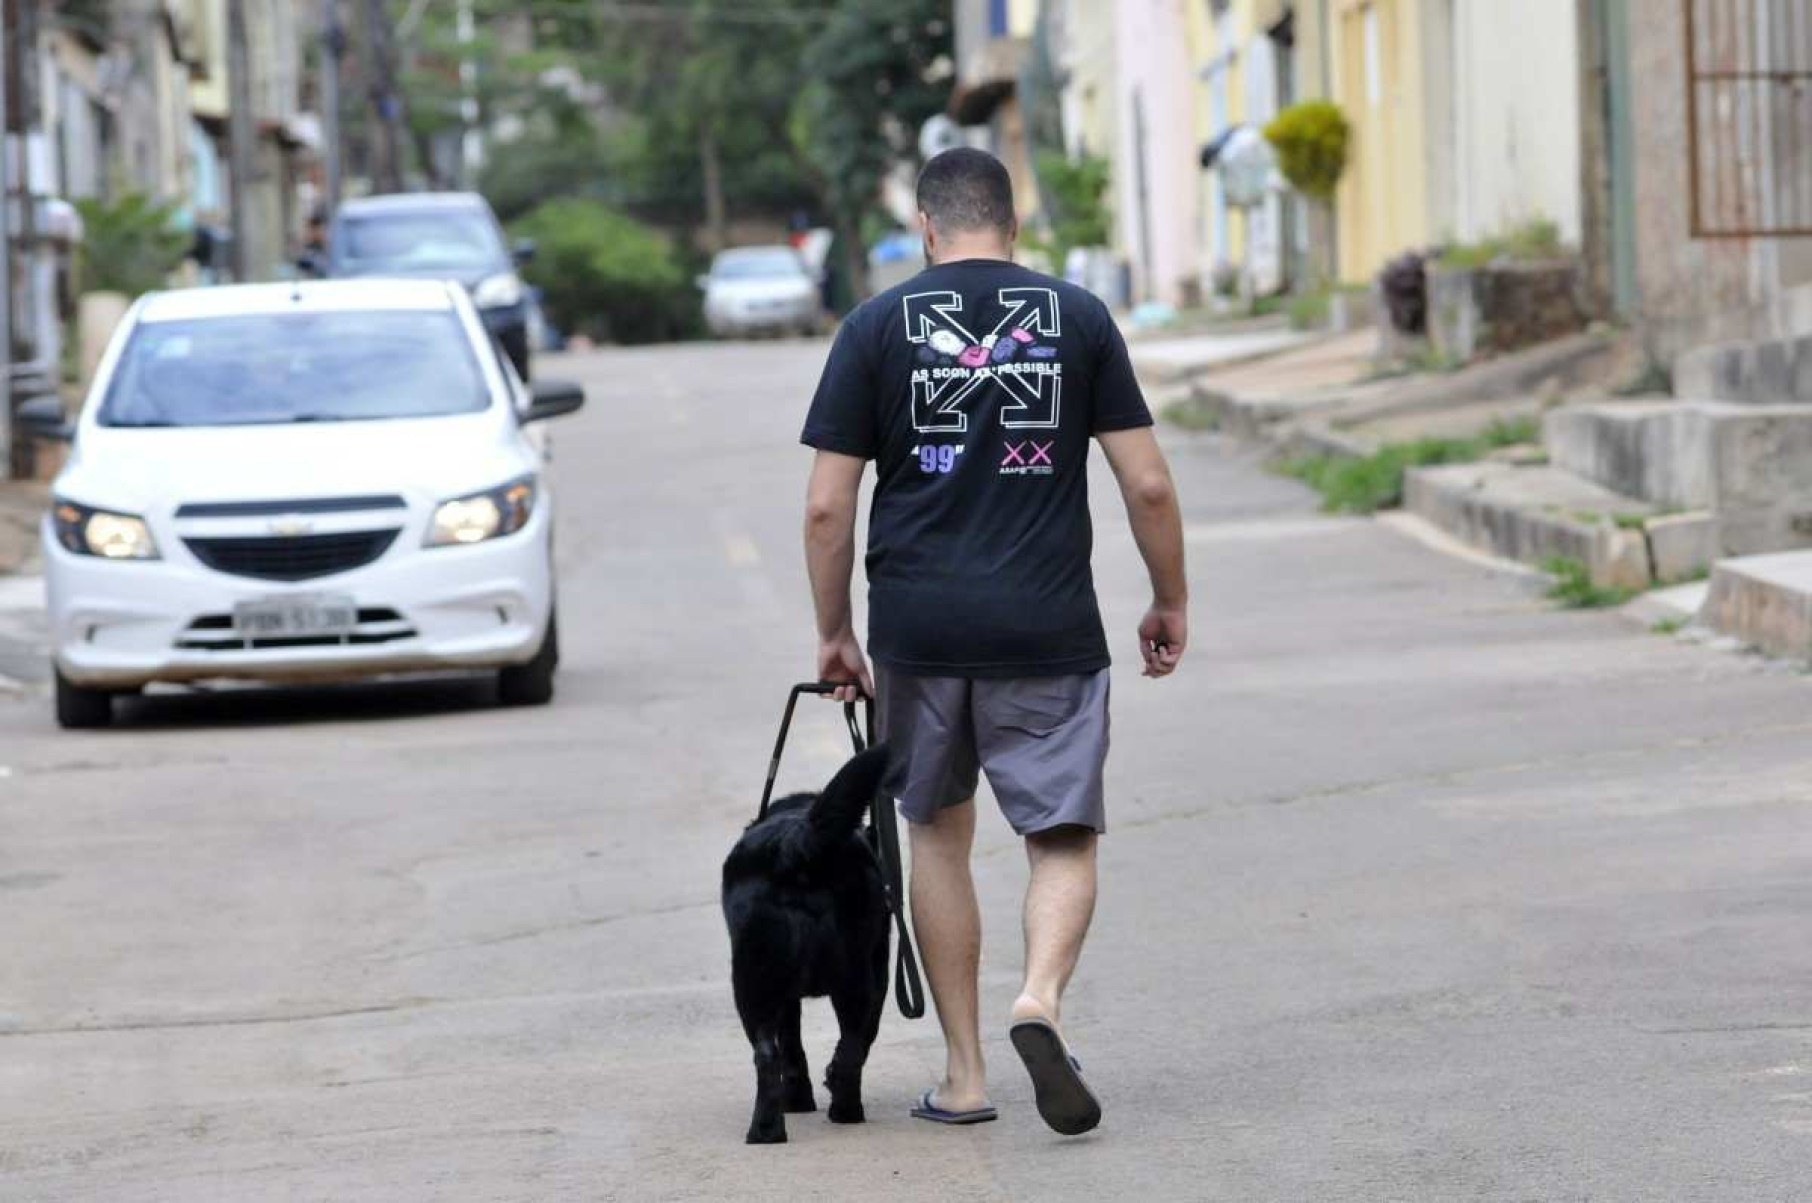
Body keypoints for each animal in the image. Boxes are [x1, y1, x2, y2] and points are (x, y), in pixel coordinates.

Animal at [721, 742, 891, 1145]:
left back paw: (766, 1131)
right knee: (851, 1047)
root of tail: (794, 843)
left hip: (753, 983)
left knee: (768, 1055)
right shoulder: (880, 970)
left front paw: (797, 1100)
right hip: (855, 980)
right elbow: (858, 1040)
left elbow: (792, 1049)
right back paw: (846, 1110)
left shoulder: (783, 998)